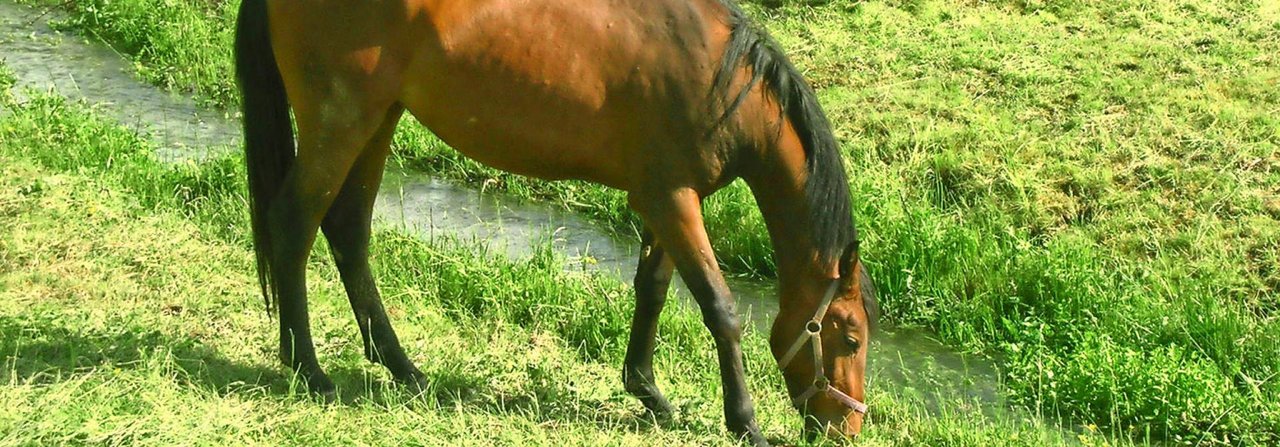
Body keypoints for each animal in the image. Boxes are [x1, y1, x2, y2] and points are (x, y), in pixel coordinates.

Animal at [235, 0, 880, 440]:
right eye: (848, 337)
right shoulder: (674, 201)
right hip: (340, 123)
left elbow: (652, 290)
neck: (719, 78)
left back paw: (402, 367)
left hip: (379, 118)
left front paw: (648, 391)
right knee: (294, 225)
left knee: (348, 230)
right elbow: (720, 309)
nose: (847, 430)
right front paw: (744, 421)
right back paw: (308, 369)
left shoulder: (661, 200)